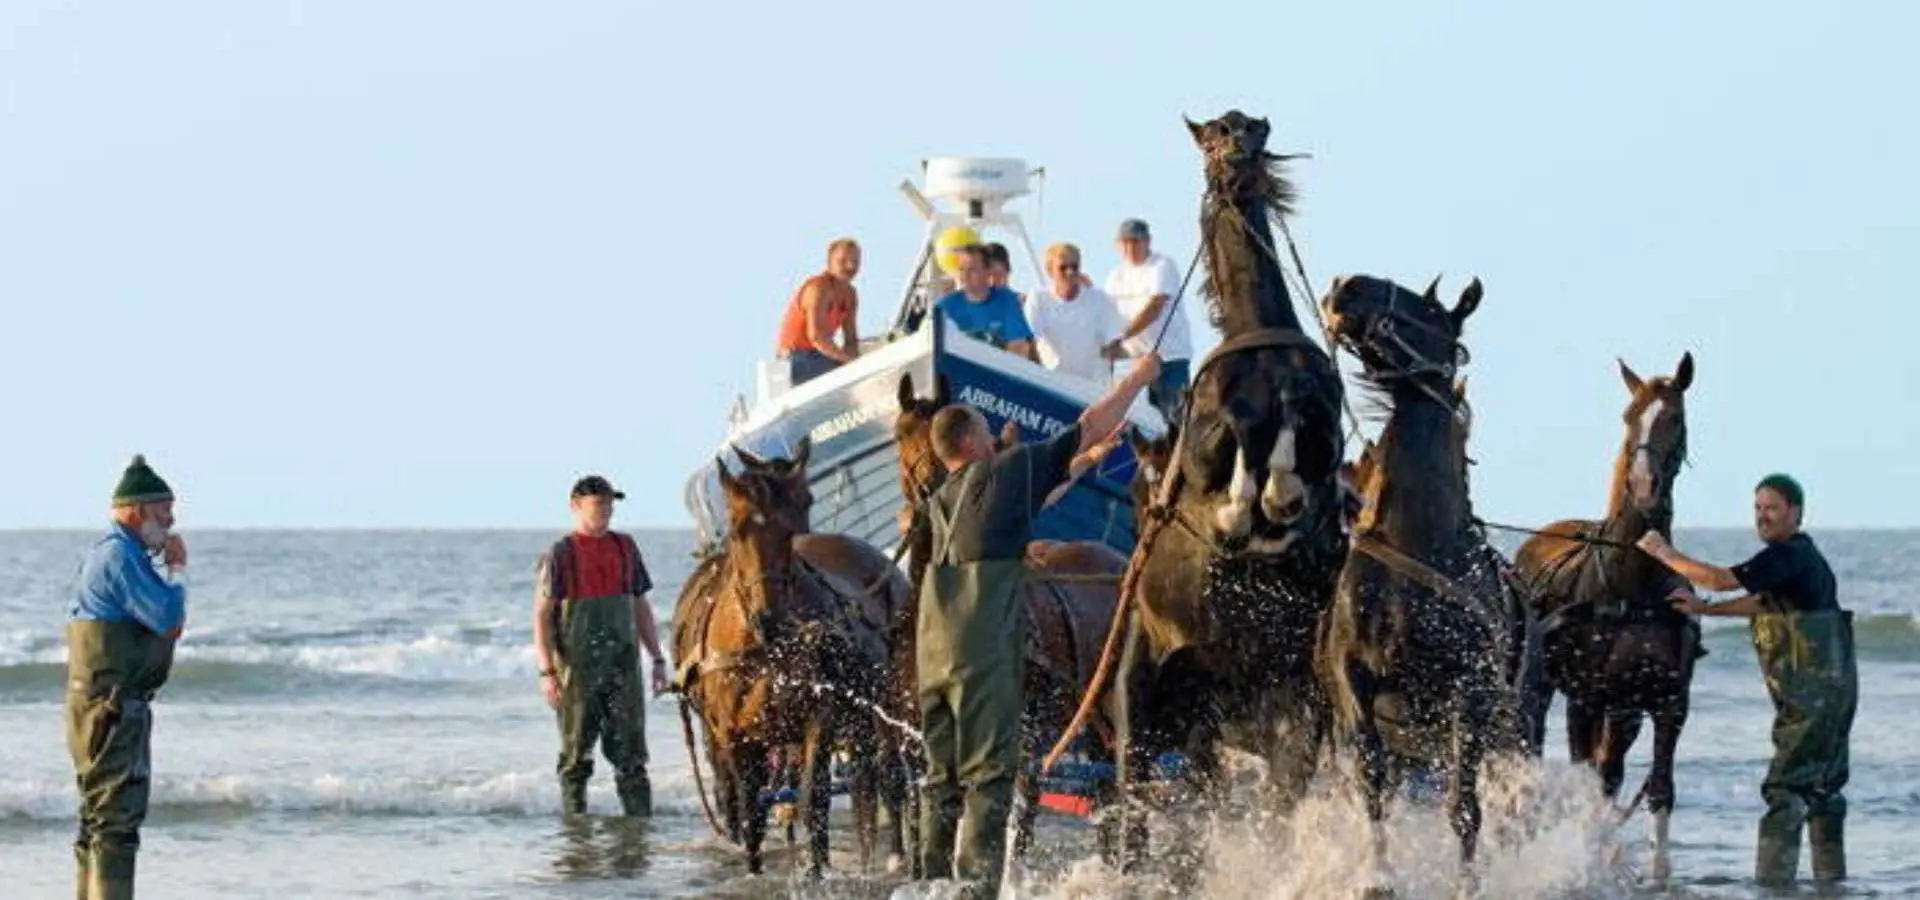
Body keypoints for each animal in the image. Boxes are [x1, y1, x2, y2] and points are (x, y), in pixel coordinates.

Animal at [669, 438, 912, 876]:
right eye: (737, 526)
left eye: (805, 504)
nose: (771, 618)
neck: (763, 646)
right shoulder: (735, 736)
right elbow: (751, 811)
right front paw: (754, 869)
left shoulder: (818, 718)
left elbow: (812, 799)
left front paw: (817, 871)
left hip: (883, 699)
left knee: (886, 774)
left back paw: (894, 853)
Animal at [1051, 110, 1350, 872]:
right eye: (1217, 134)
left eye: (1246, 132)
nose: (1238, 156)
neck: (1262, 347)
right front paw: (1261, 504)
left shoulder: (1280, 427)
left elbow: (1275, 469)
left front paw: (1272, 503)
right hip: (1175, 710)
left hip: (1238, 710)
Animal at [1316, 273, 1531, 893]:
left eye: (1432, 310)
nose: (1346, 286)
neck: (1417, 541)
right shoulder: (1354, 678)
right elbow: (1370, 779)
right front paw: (1377, 875)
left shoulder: (1469, 694)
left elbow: (1464, 807)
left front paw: (1467, 884)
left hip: (1513, 726)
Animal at [1510, 352, 1698, 878]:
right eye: (1628, 416)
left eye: (1675, 417)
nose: (1643, 485)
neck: (1631, 578)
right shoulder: (1587, 698)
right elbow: (1589, 783)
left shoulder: (1669, 705)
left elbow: (1659, 792)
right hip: (1548, 691)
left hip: (1625, 710)